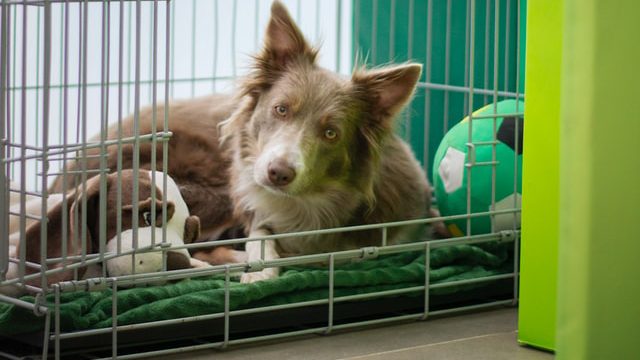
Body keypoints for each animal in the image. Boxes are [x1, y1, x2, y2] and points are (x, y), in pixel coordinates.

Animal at [51, 2, 436, 284]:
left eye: (331, 133)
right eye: (281, 108)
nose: (278, 172)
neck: (308, 204)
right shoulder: (252, 205)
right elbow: (259, 237)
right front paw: (260, 266)